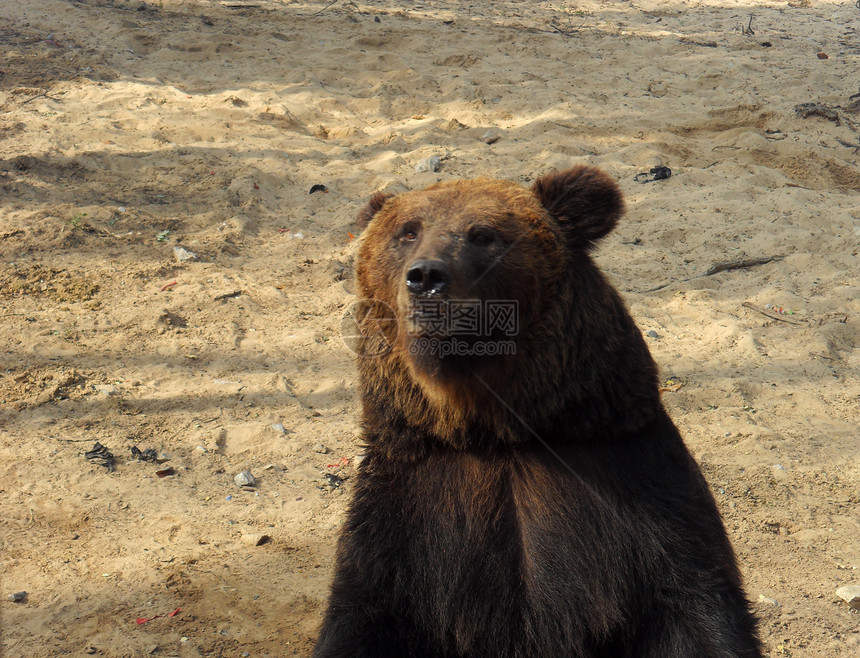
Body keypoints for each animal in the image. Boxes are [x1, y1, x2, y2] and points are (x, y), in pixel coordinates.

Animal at [314, 167, 760, 656]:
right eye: (407, 232)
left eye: (483, 234)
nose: (426, 276)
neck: (498, 434)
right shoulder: (404, 517)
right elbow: (362, 617)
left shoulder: (636, 482)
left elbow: (695, 607)